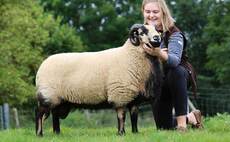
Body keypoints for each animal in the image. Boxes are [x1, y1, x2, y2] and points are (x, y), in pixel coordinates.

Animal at [35, 23, 163, 136]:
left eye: (157, 30)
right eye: (142, 32)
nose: (157, 38)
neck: (130, 56)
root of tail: (42, 65)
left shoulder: (134, 99)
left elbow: (134, 116)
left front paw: (135, 133)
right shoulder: (120, 95)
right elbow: (121, 116)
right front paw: (121, 133)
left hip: (58, 99)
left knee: (55, 114)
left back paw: (57, 133)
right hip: (48, 95)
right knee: (39, 113)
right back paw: (39, 134)